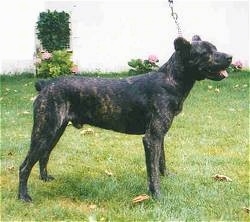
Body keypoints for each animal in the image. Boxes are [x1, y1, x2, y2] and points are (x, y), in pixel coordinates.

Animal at [18, 36, 232, 201]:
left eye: (215, 48)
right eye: (206, 52)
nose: (230, 57)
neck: (171, 80)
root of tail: (46, 84)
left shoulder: (160, 136)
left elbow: (161, 162)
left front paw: (167, 178)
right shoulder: (151, 138)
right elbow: (152, 171)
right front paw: (157, 195)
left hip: (54, 131)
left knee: (44, 156)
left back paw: (45, 179)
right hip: (44, 132)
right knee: (24, 166)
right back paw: (23, 196)